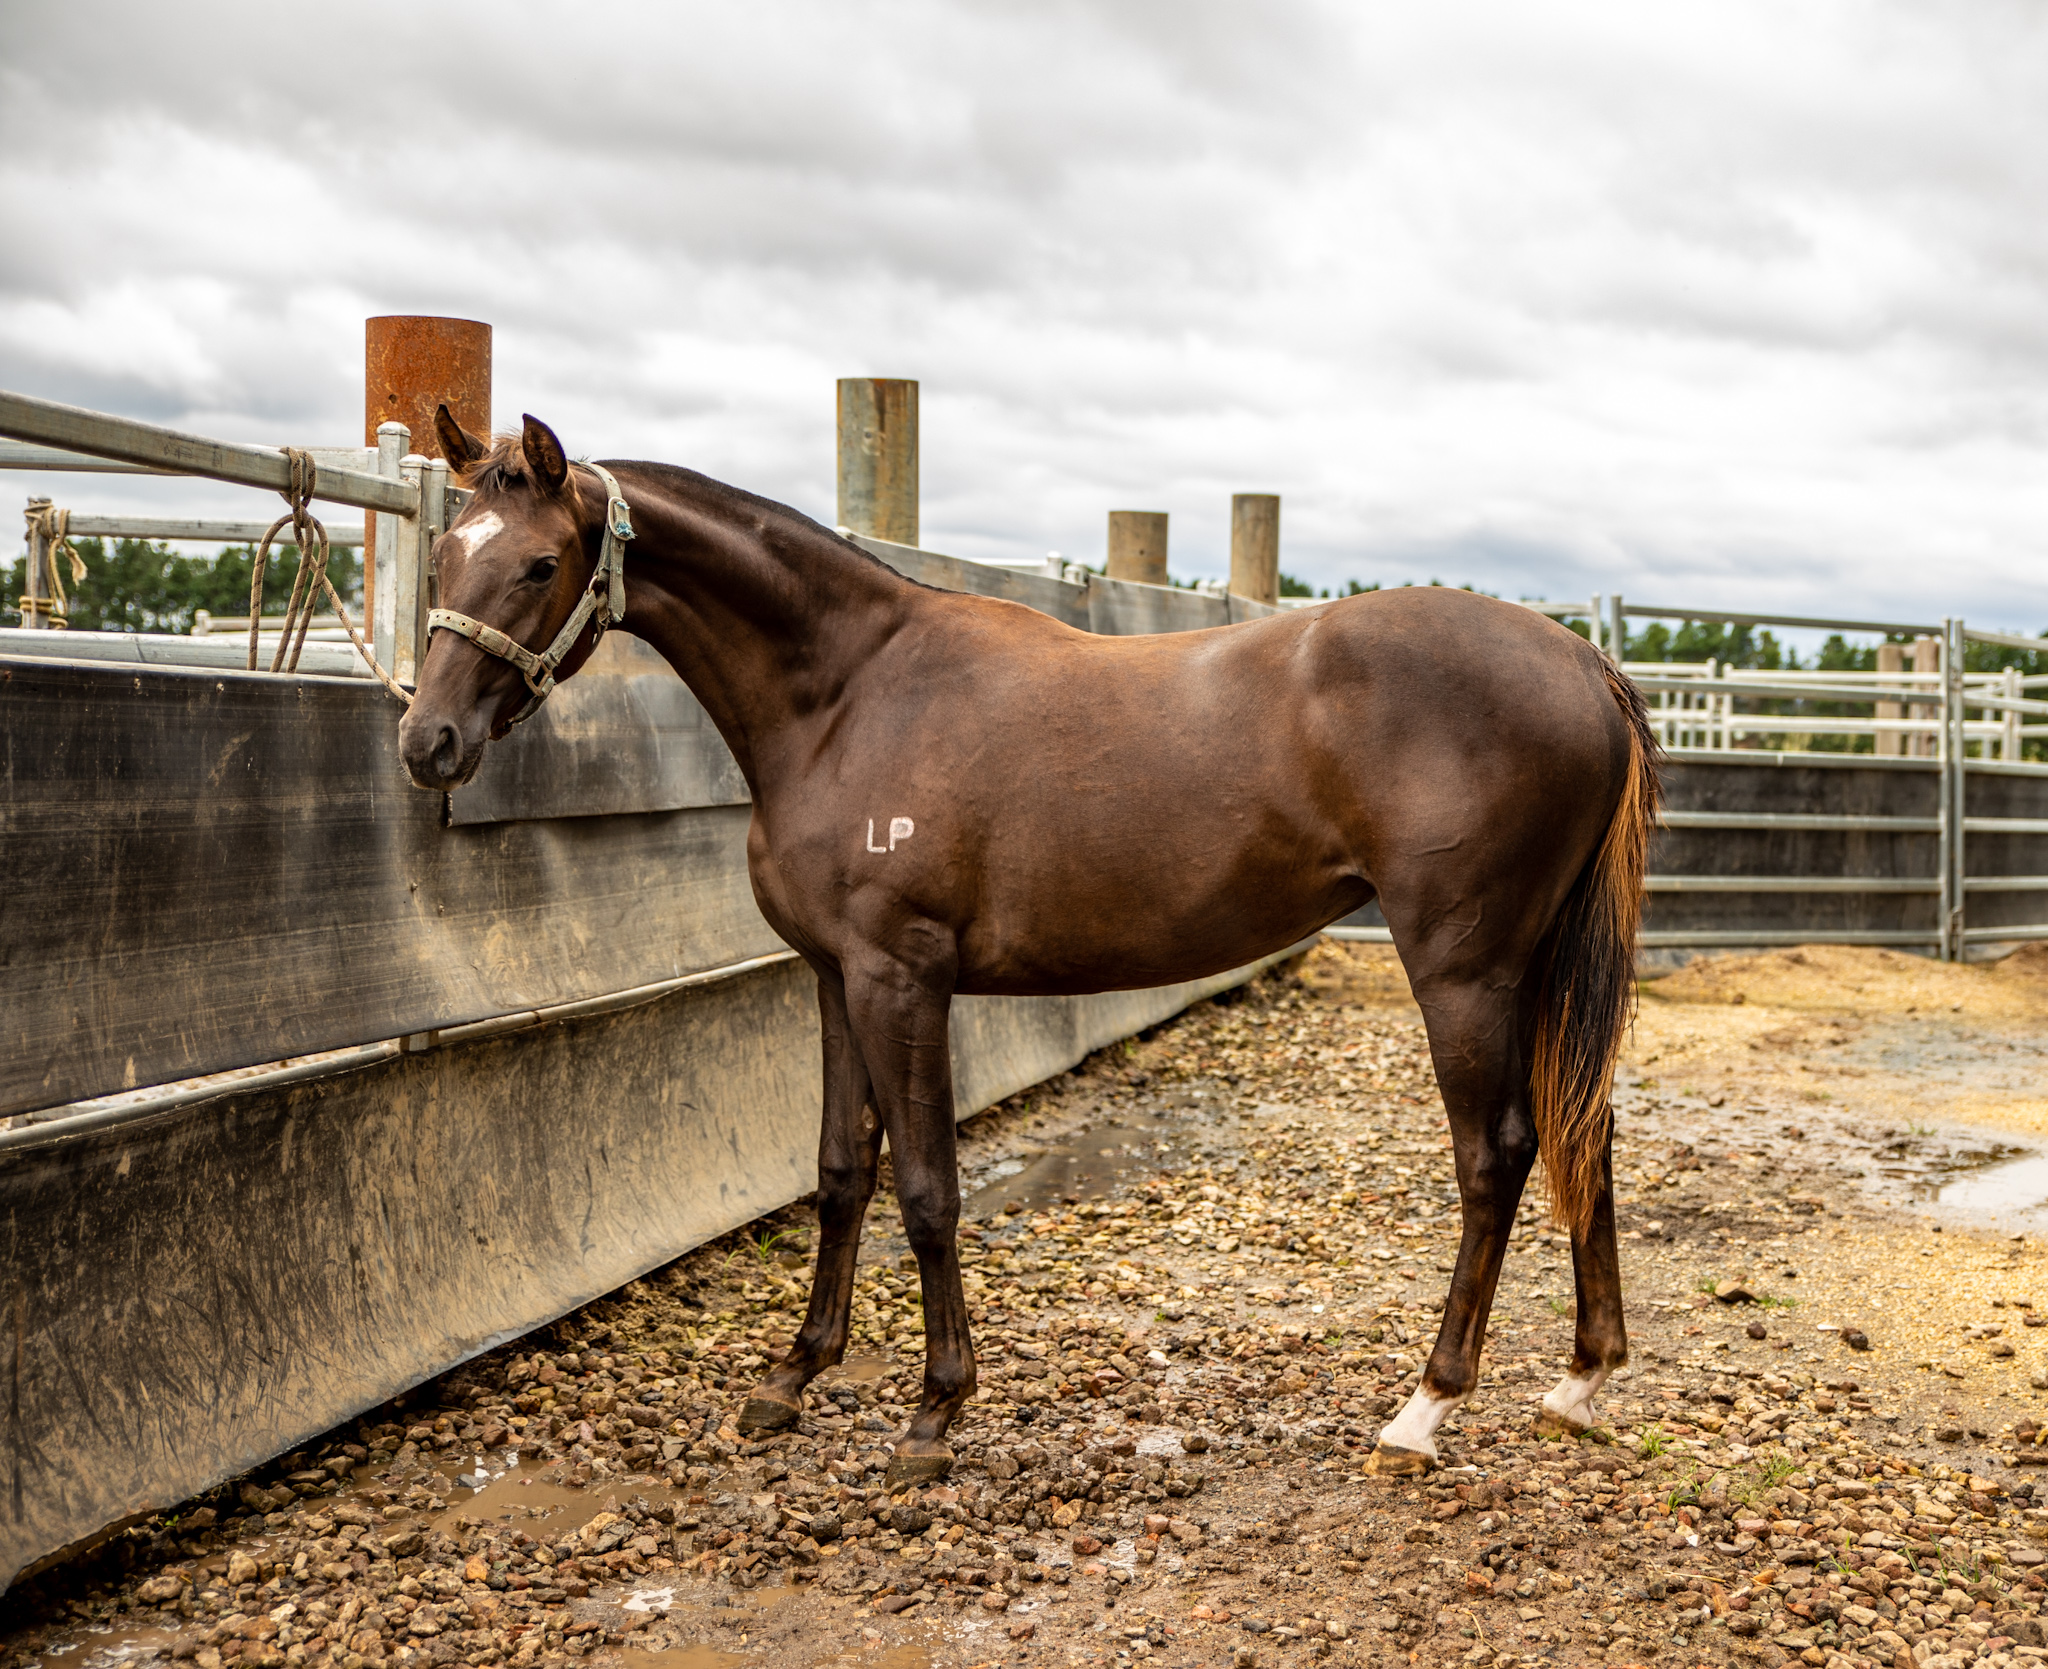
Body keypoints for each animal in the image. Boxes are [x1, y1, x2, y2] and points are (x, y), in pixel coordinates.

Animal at [399, 410, 1659, 1486]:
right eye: (444, 557)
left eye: (538, 565)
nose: (427, 743)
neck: (849, 696)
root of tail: (1582, 663)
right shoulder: (832, 976)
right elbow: (838, 1173)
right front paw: (792, 1376)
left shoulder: (901, 979)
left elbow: (925, 1190)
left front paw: (932, 1411)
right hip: (1530, 967)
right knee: (1581, 1126)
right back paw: (1580, 1379)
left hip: (1461, 969)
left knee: (1495, 1155)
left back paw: (1423, 1407)